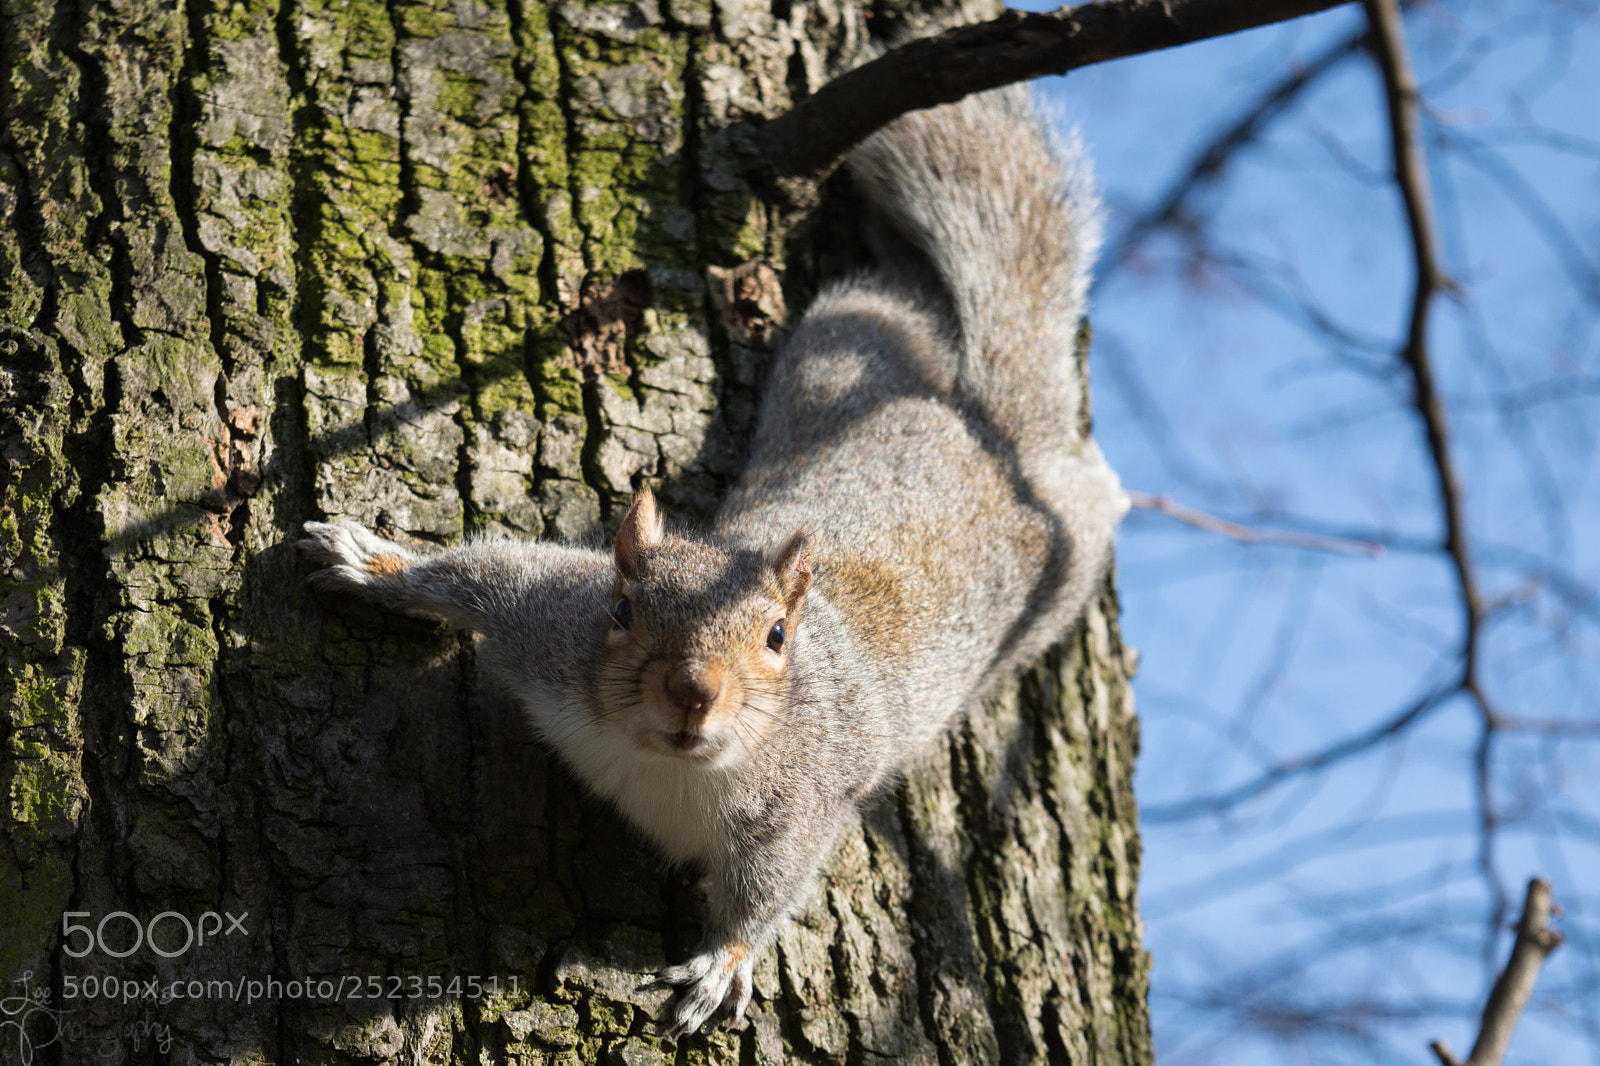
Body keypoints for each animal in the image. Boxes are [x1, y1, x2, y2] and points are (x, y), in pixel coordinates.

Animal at [298, 85, 1127, 1037]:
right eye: (622, 611)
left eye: (776, 637)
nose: (693, 692)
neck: (663, 762)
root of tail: (990, 431)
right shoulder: (545, 620)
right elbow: (482, 572)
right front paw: (375, 564)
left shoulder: (804, 805)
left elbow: (772, 891)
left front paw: (722, 965)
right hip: (840, 345)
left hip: (1064, 563)